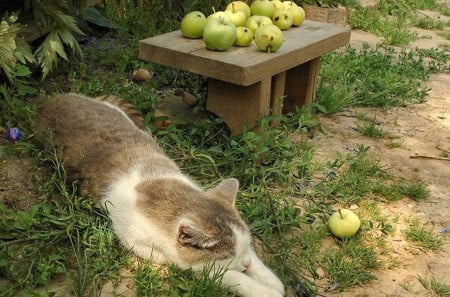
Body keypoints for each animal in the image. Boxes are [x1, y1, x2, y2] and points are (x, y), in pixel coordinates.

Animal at [34, 93, 284, 296]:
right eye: (227, 257)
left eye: (245, 247)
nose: (245, 264)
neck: (154, 190)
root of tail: (51, 100)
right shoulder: (148, 247)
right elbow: (218, 274)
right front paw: (262, 289)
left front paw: (270, 279)